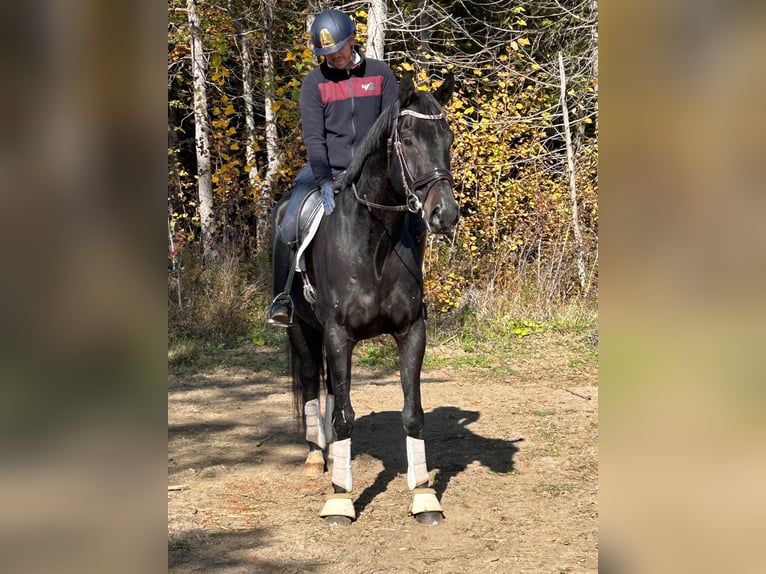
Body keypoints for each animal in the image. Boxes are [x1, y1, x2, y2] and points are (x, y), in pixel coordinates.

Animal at [272, 72, 460, 528]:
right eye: (406, 139)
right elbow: (343, 416)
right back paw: (315, 457)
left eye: (447, 138)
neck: (373, 240)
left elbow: (412, 413)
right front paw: (339, 500)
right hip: (302, 330)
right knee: (311, 381)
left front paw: (424, 494)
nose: (445, 214)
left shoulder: (411, 331)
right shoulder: (338, 334)